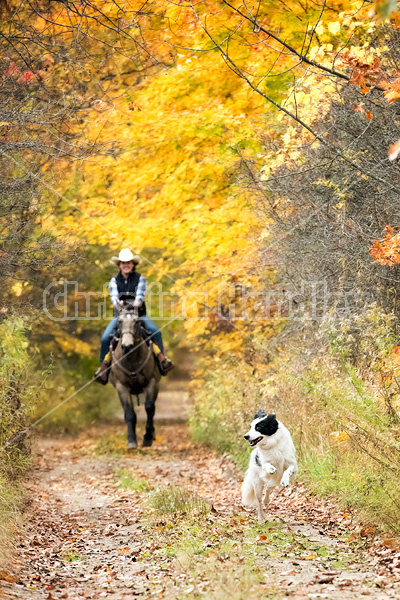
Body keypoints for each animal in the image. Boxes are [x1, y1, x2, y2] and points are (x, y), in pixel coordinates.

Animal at [109, 308, 161, 448]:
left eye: (137, 322)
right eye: (120, 322)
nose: (127, 346)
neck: (131, 360)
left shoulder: (151, 383)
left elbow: (149, 408)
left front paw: (147, 437)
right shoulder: (122, 387)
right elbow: (129, 413)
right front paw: (132, 441)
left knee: (152, 409)